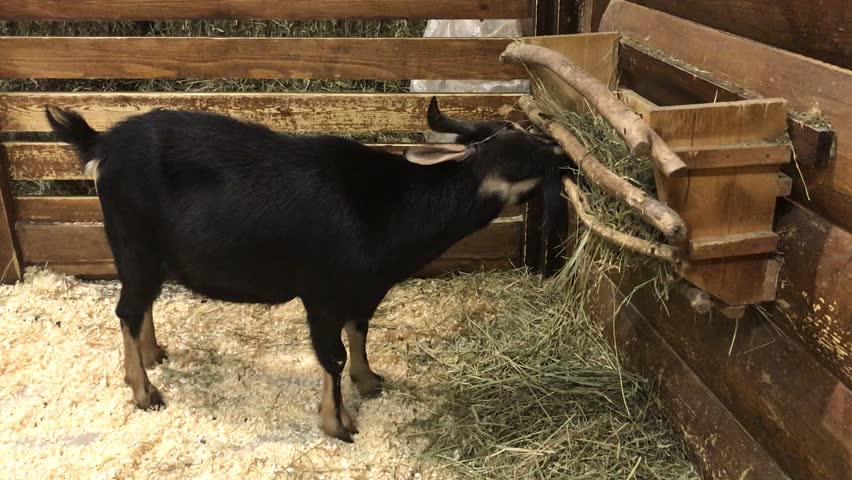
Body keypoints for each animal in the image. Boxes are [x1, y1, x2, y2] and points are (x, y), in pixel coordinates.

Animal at [46, 97, 568, 442]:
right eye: (519, 140)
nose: (563, 154)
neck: (393, 207)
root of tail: (101, 144)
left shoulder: (365, 290)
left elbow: (359, 333)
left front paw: (369, 382)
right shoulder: (321, 293)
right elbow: (331, 355)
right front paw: (337, 423)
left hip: (151, 256)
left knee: (141, 306)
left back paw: (154, 354)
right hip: (133, 244)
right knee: (127, 309)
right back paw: (144, 390)